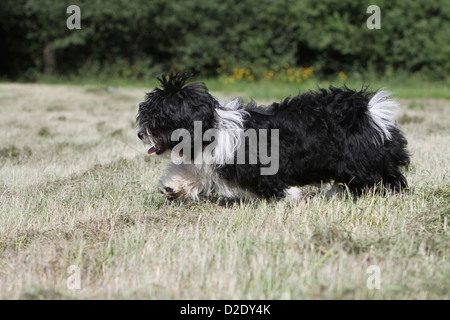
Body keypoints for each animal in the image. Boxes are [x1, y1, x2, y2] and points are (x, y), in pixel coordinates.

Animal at [135, 74, 410, 201]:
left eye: (158, 120)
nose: (140, 134)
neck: (212, 129)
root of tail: (368, 112)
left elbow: (273, 183)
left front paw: (289, 196)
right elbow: (190, 172)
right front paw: (172, 187)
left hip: (361, 161)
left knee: (386, 177)